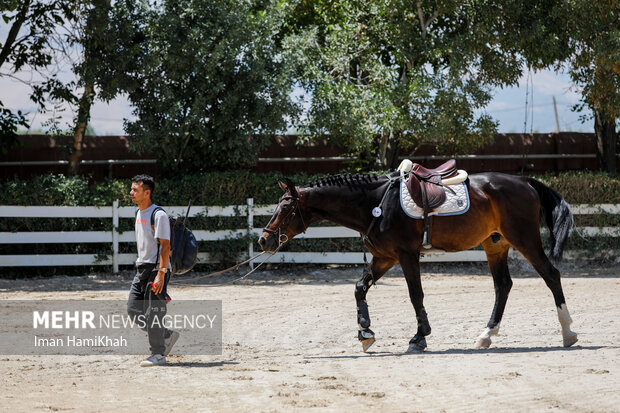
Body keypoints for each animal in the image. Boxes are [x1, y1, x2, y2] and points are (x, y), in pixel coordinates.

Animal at [258, 171, 576, 350]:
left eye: (285, 208)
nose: (264, 240)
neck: (375, 203)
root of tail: (524, 181)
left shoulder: (407, 255)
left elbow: (415, 294)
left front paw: (420, 337)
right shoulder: (384, 257)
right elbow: (360, 287)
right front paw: (365, 331)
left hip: (525, 240)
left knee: (551, 275)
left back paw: (568, 331)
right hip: (495, 244)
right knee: (503, 286)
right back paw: (486, 335)